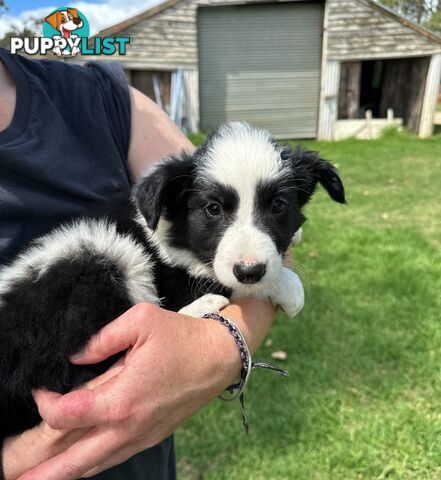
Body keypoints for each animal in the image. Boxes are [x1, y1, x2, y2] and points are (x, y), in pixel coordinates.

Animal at [0, 121, 344, 438]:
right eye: (213, 209)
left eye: (278, 206)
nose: (250, 270)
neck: (180, 234)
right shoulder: (180, 273)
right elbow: (220, 282)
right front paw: (285, 285)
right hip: (98, 254)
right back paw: (204, 305)